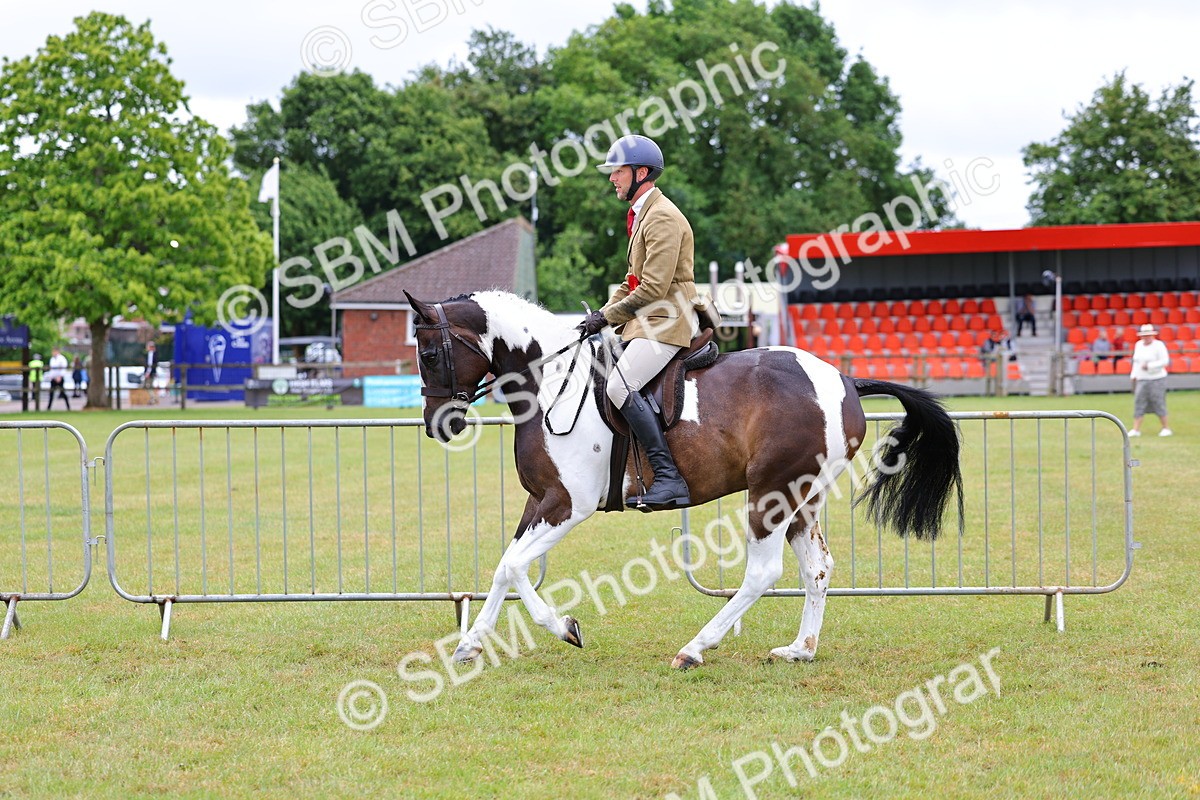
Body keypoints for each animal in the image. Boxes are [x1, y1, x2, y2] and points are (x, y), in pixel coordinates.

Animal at [405, 289, 963, 669]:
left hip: (771, 493)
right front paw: (469, 644)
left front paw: (565, 628)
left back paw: (695, 648)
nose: (438, 424)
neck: (552, 382)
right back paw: (799, 650)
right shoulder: (539, 499)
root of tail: (844, 380)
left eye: (429, 355)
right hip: (803, 498)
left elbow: (518, 567)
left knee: (763, 573)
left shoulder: (567, 503)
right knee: (818, 569)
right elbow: (504, 568)